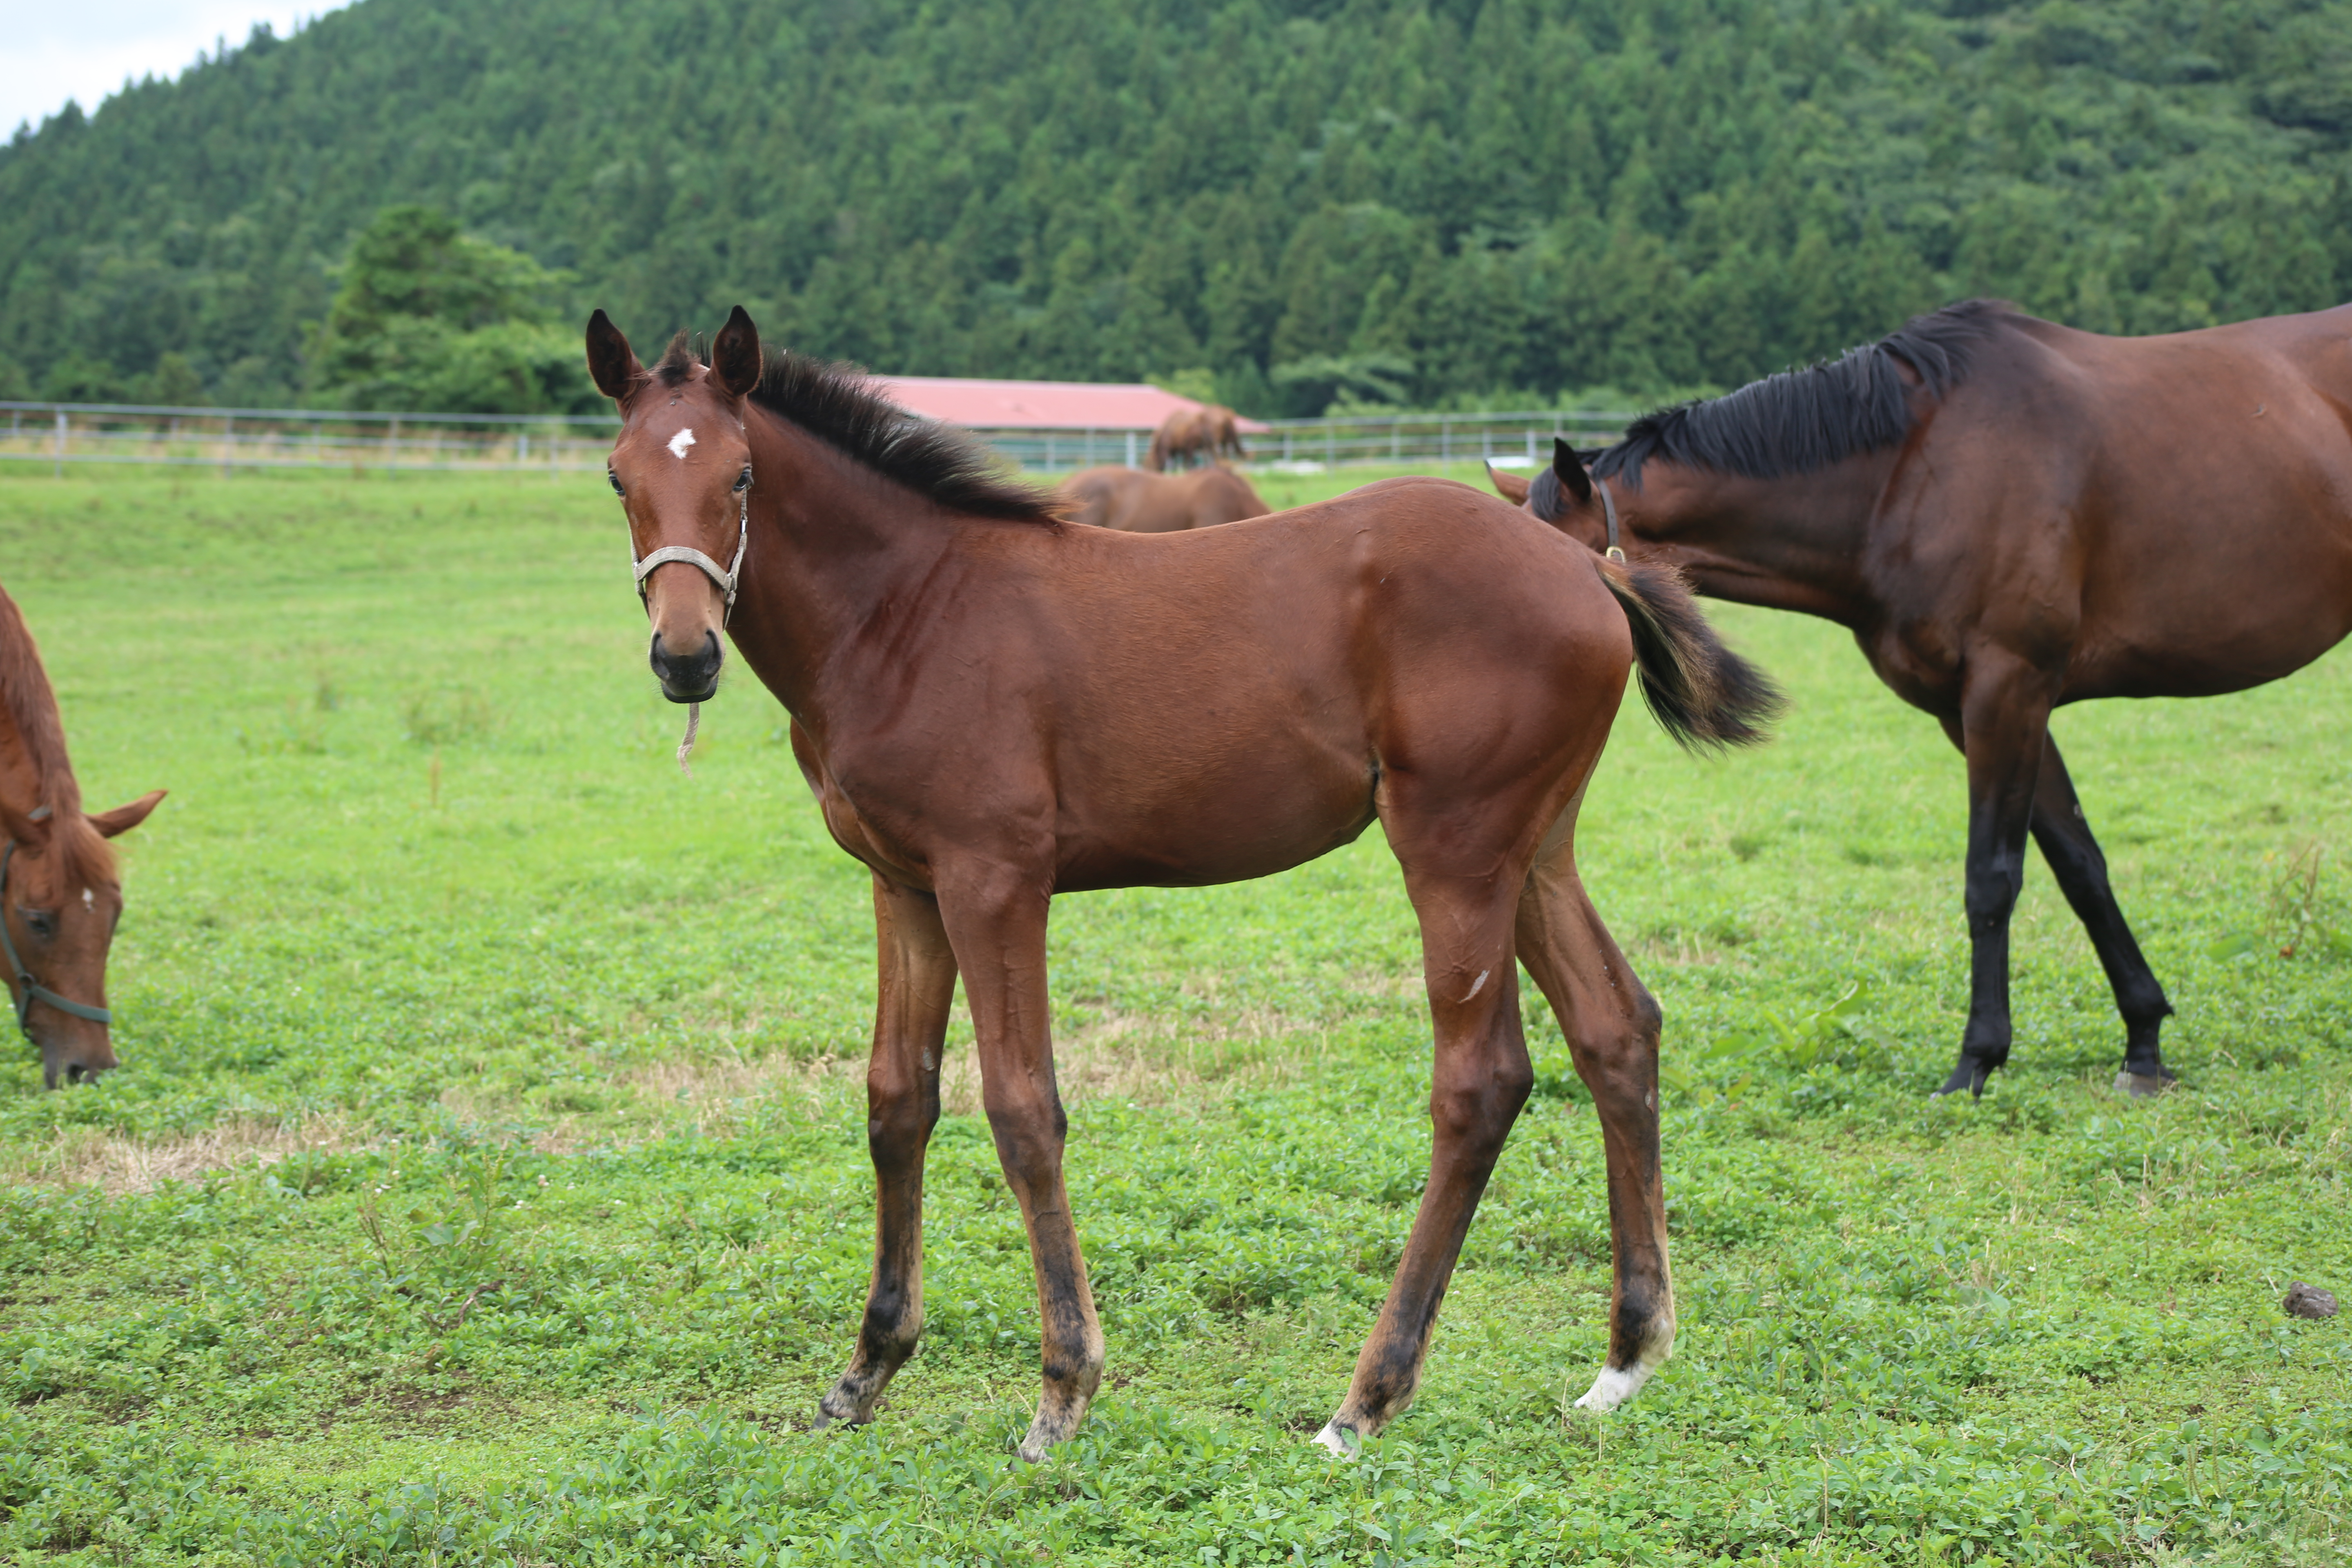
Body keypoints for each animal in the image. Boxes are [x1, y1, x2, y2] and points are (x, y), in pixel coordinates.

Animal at [1486, 301, 2352, 1100]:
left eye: (1563, 573)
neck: (1911, 472)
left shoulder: (2009, 688)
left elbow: (1992, 877)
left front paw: (1977, 1059)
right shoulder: (1975, 710)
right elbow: (2081, 866)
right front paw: (2144, 1042)